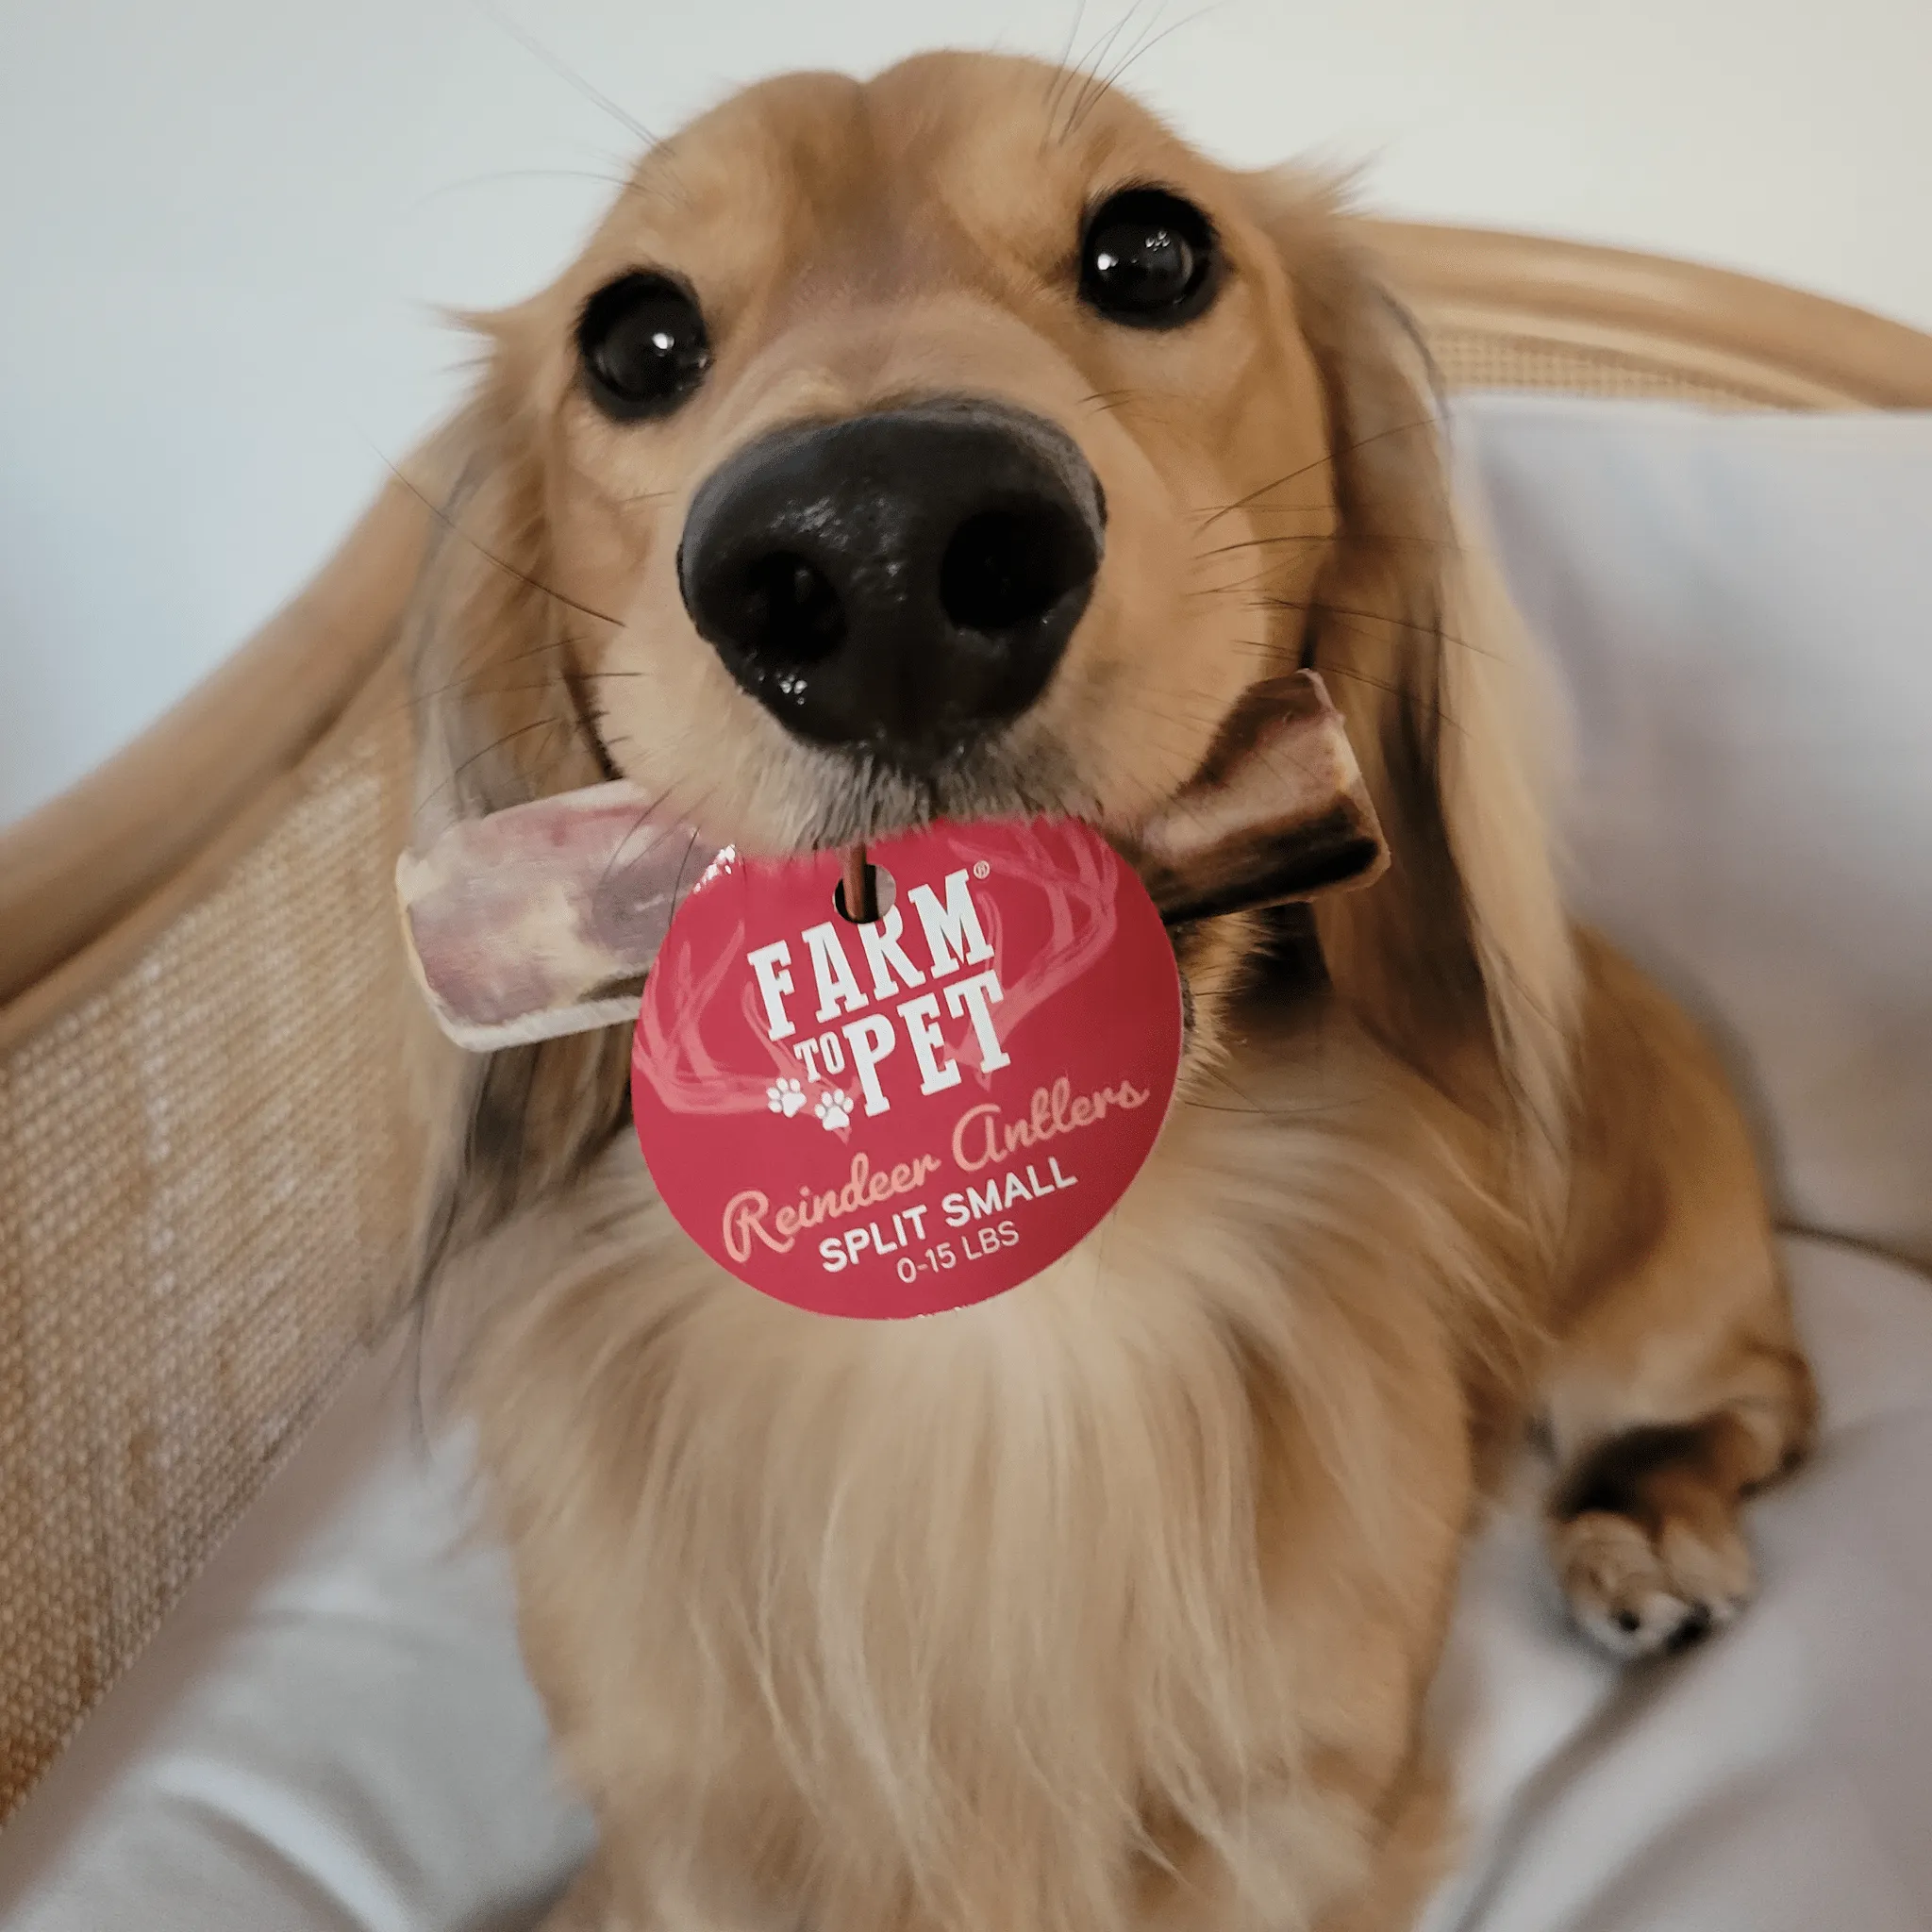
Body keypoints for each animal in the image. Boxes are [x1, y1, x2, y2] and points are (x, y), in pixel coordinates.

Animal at [399, 53, 1816, 1932]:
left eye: (1151, 251)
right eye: (633, 342)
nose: (881, 554)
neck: (1005, 1330)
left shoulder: (1299, 1810)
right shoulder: (685, 1834)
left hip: (1659, 1290)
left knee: (1747, 1401)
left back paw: (1644, 1521)